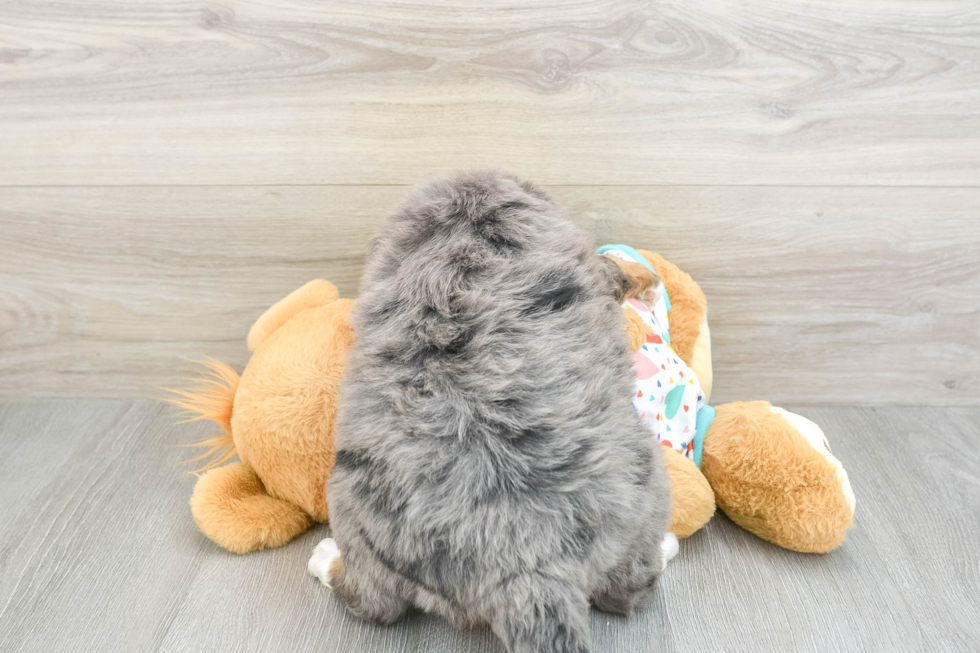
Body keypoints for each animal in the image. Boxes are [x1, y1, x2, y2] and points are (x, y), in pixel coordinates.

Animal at [314, 171, 672, 648]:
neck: (466, 220)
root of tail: (530, 567)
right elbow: (615, 268)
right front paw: (645, 276)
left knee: (375, 604)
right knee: (627, 591)